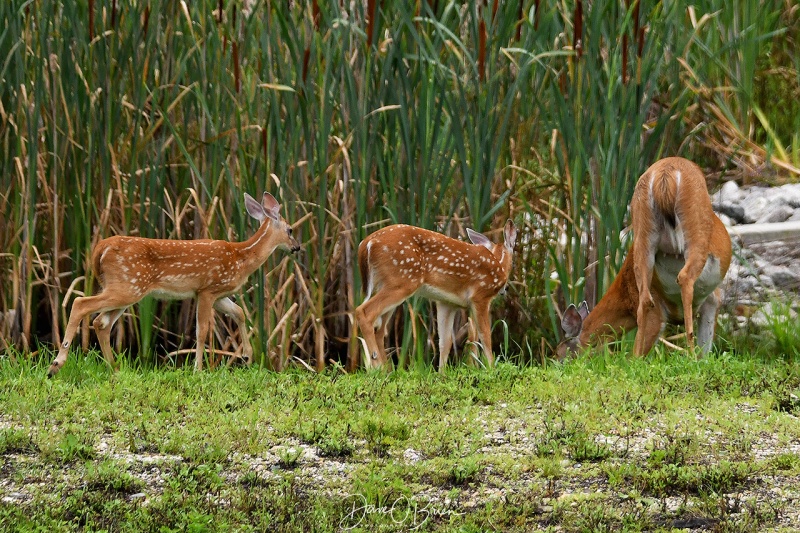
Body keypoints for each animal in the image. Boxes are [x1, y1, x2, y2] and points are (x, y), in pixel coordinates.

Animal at [49, 189, 300, 376]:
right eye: (290, 229)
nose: (297, 247)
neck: (242, 257)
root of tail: (100, 249)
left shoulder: (217, 293)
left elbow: (239, 313)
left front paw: (247, 356)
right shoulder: (207, 289)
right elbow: (202, 330)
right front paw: (198, 369)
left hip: (124, 287)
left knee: (101, 322)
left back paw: (114, 368)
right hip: (128, 286)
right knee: (81, 304)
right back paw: (56, 364)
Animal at [356, 219, 520, 370]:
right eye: (513, 261)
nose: (505, 289)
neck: (498, 263)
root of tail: (367, 243)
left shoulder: (447, 303)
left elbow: (445, 341)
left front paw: (442, 373)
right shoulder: (480, 295)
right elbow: (484, 335)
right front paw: (491, 368)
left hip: (385, 285)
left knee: (380, 330)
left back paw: (386, 370)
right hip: (403, 281)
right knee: (363, 312)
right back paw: (376, 365)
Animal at [556, 156, 732, 360]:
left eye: (560, 355)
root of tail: (665, 176)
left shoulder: (711, 299)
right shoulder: (709, 298)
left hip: (643, 230)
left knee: (646, 300)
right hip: (693, 233)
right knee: (684, 278)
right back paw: (687, 354)